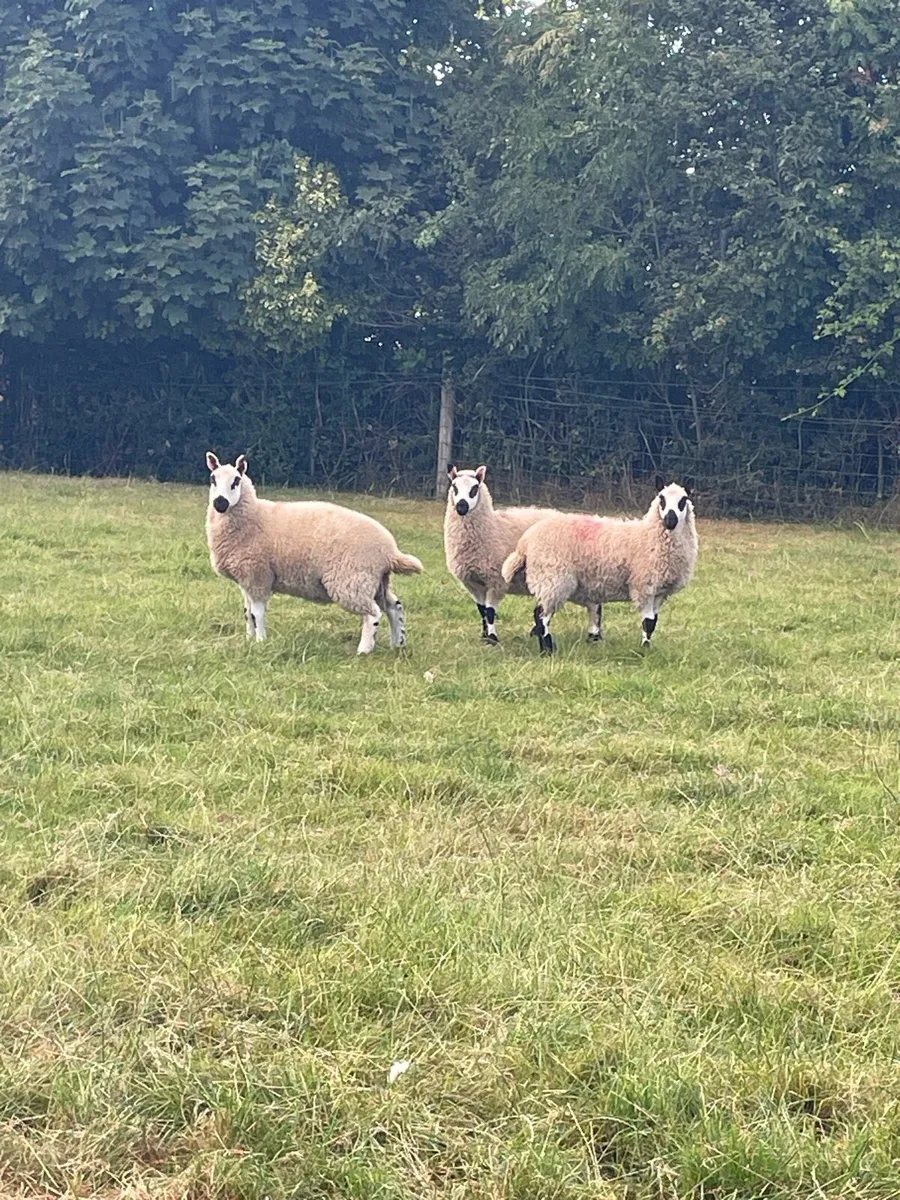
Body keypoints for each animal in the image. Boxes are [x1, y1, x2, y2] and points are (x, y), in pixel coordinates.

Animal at [205, 452, 423, 654]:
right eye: (213, 479)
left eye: (236, 481)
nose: (220, 503)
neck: (253, 516)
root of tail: (390, 551)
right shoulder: (246, 578)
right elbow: (247, 611)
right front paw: (249, 639)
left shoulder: (257, 574)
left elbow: (257, 613)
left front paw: (260, 642)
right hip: (375, 582)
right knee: (394, 607)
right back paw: (398, 644)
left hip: (352, 580)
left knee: (373, 614)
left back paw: (364, 650)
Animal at [443, 464, 563, 644]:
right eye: (454, 487)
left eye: (474, 488)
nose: (461, 507)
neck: (492, 526)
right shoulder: (472, 582)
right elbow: (481, 609)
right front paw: (484, 635)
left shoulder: (496, 580)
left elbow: (490, 612)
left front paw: (493, 638)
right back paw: (536, 630)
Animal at [501, 475, 697, 653]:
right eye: (661, 499)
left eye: (683, 500)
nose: (670, 521)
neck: (649, 535)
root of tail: (525, 542)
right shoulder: (644, 586)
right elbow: (648, 622)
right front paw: (644, 650)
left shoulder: (659, 592)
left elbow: (653, 622)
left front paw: (647, 647)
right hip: (553, 579)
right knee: (541, 615)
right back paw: (548, 650)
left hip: (546, 580)